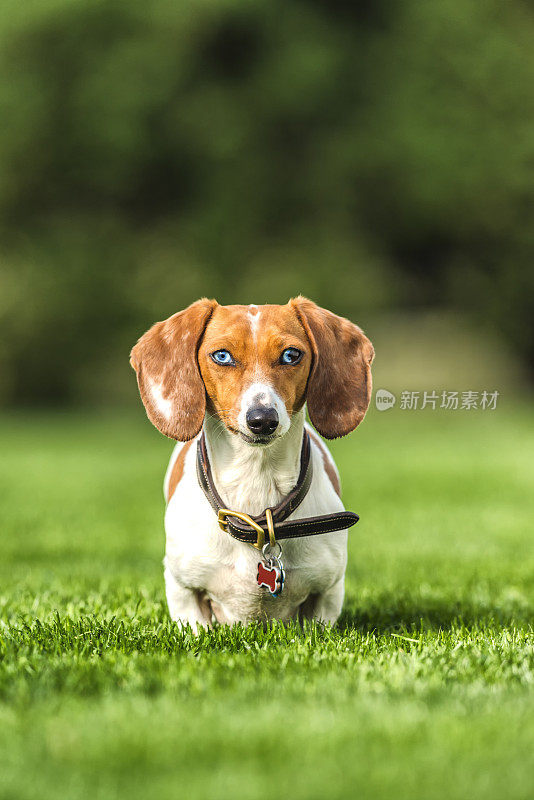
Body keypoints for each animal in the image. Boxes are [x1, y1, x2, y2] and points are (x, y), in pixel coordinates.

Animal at [130, 296, 374, 628]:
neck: (256, 483)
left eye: (291, 355)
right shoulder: (183, 591)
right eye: (222, 356)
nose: (262, 420)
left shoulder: (329, 592)